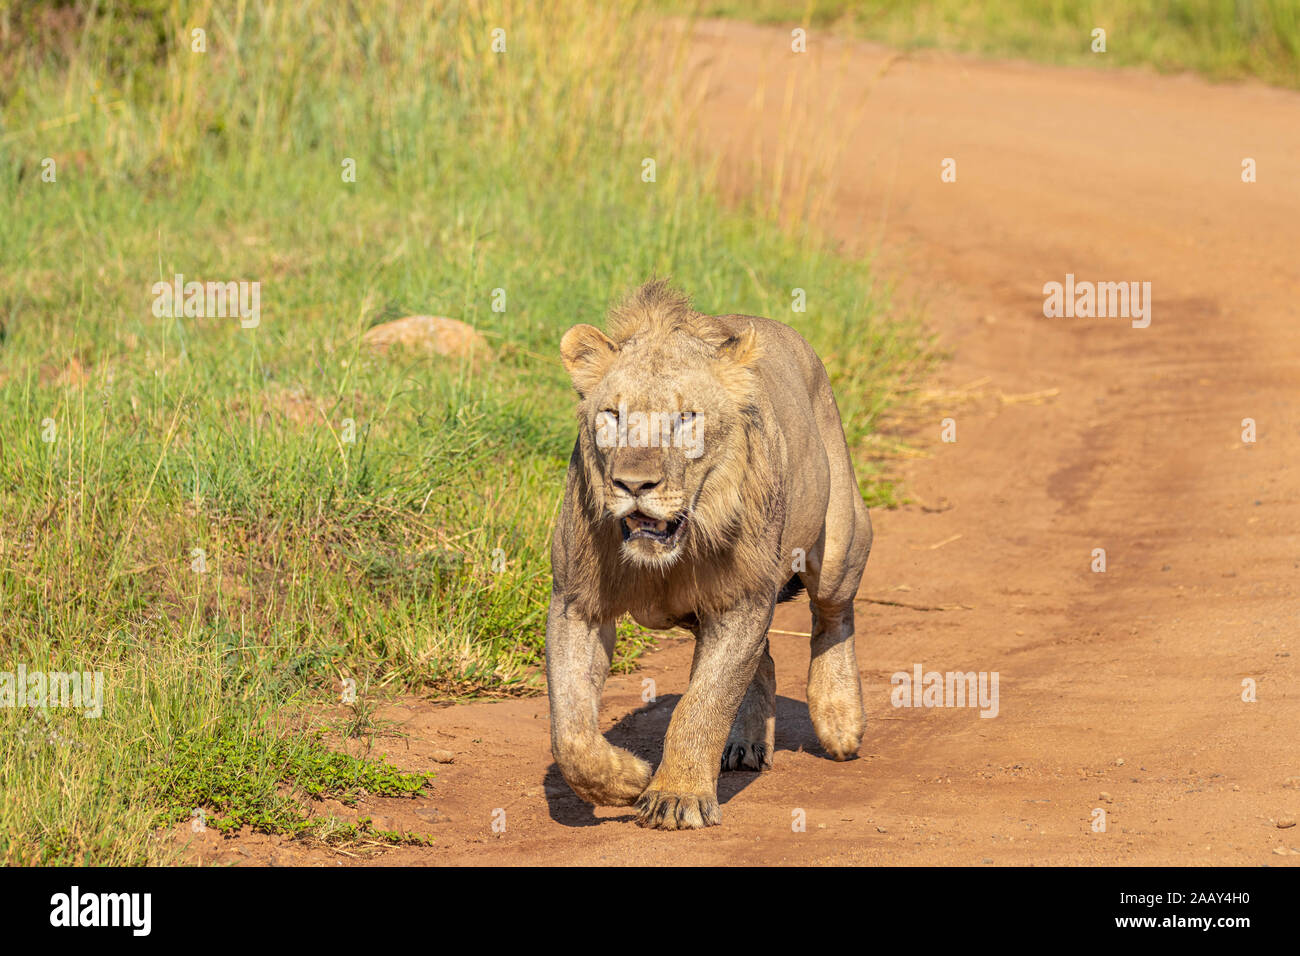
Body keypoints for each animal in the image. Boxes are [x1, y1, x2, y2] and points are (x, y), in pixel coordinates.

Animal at [543, 278, 868, 832]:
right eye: (612, 415)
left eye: (685, 419)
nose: (633, 484)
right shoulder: (575, 603)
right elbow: (572, 733)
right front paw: (627, 779)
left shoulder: (742, 601)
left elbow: (703, 705)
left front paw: (676, 796)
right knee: (764, 657)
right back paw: (746, 743)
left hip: (841, 543)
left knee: (832, 615)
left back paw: (839, 719)